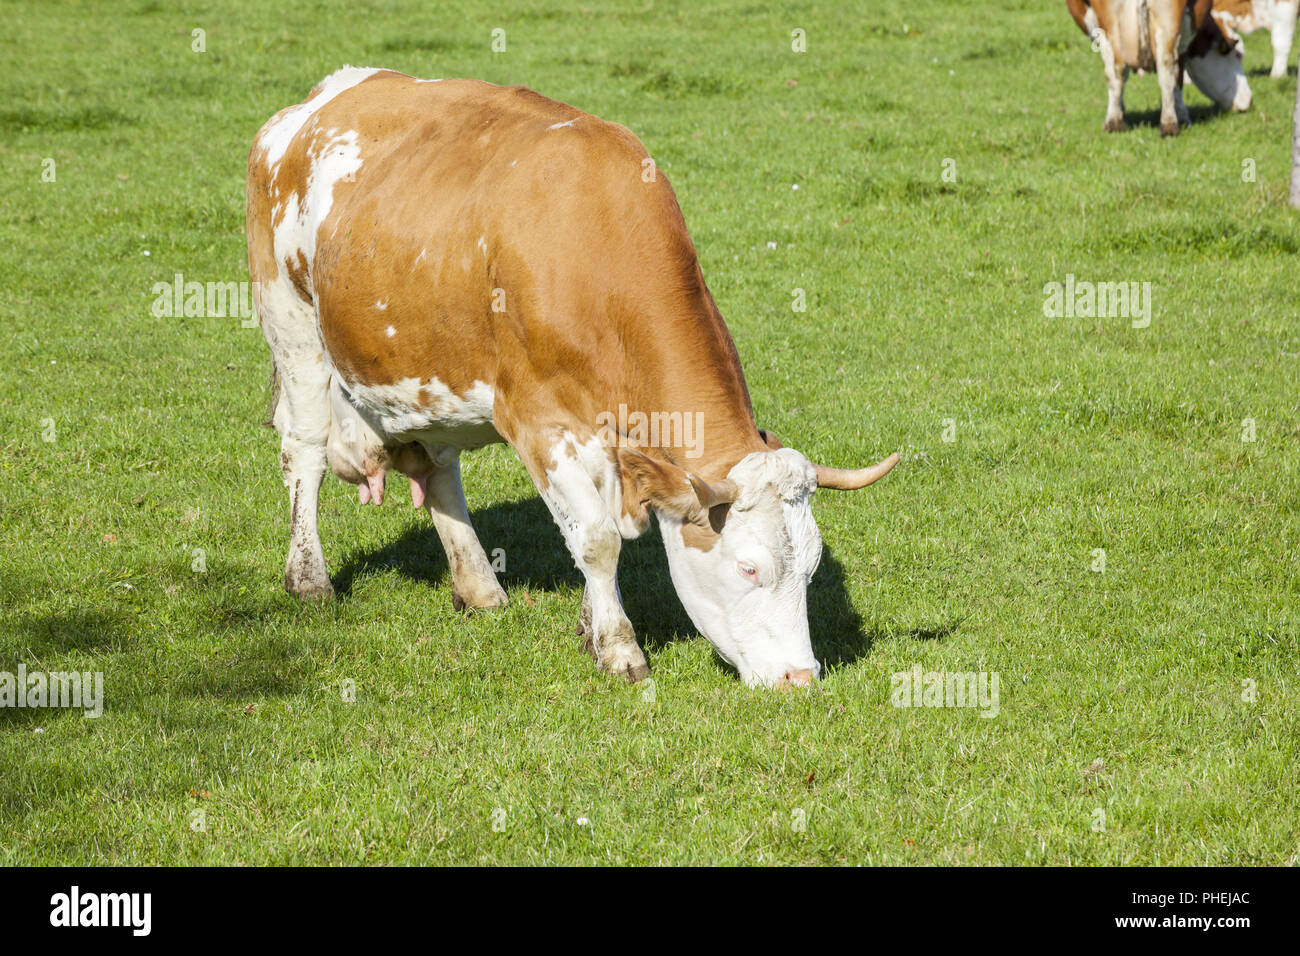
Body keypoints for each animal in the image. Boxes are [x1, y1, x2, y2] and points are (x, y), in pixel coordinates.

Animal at [245, 68, 898, 689]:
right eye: (748, 567)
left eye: (811, 568)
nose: (801, 678)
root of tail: (315, 102)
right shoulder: (538, 420)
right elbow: (597, 540)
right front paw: (619, 648)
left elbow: (598, 530)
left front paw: (591, 625)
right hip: (292, 324)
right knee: (303, 450)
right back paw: (309, 580)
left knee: (439, 471)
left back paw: (479, 588)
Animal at [1067, 0, 1252, 136]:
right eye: (1238, 55)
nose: (1248, 100)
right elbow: (1178, 76)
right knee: (1164, 65)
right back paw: (1167, 123)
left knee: (1120, 69)